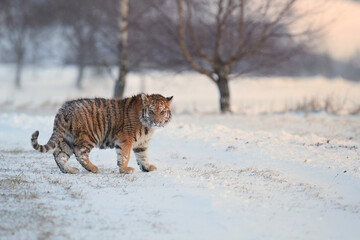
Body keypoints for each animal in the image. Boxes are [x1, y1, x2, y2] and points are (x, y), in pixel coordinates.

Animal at [29, 94, 173, 174]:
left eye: (162, 111)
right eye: (152, 111)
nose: (157, 122)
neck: (146, 124)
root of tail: (65, 107)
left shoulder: (142, 143)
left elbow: (143, 156)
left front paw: (147, 167)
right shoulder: (126, 139)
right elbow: (125, 155)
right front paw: (125, 170)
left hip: (67, 138)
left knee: (59, 154)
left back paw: (69, 171)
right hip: (88, 136)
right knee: (80, 152)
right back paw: (93, 168)